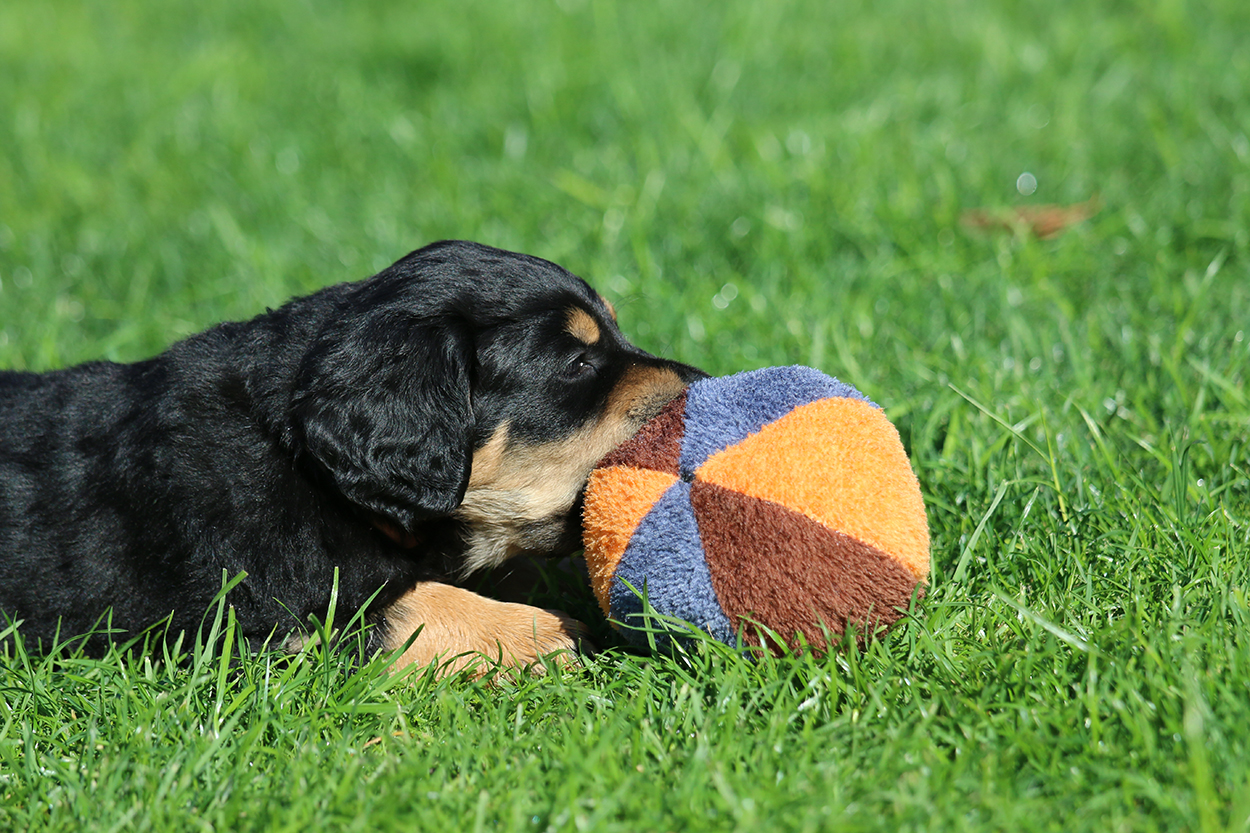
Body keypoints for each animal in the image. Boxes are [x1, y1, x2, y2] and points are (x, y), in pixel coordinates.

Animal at [0, 241, 705, 673]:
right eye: (576, 363)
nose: (703, 384)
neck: (305, 463)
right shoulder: (238, 618)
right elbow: (404, 608)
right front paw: (548, 636)